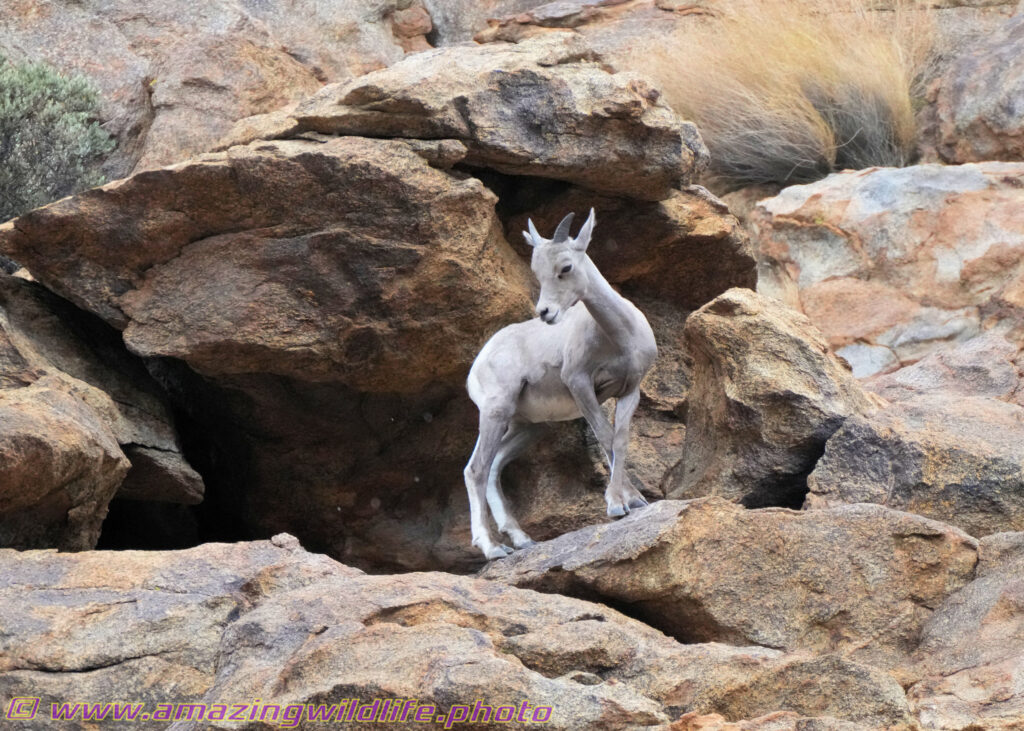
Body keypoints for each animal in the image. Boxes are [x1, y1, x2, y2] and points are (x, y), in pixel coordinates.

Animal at [464, 207, 655, 561]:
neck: (619, 337)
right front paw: (617, 505)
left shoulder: (629, 390)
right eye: (537, 272)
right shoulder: (580, 385)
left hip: (527, 426)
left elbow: (619, 441)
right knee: (476, 469)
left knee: (494, 465)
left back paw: (522, 540)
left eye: (565, 267)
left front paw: (635, 501)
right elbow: (605, 438)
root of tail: (475, 369)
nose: (546, 312)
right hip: (495, 413)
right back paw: (493, 548)